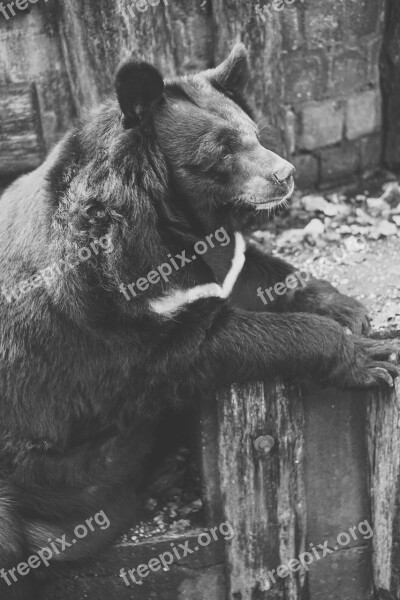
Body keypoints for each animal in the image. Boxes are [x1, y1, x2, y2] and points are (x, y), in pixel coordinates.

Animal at [0, 43, 398, 600]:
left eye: (254, 133)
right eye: (222, 149)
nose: (286, 175)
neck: (173, 216)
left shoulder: (213, 252)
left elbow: (254, 269)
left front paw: (348, 309)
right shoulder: (117, 304)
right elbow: (202, 344)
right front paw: (368, 357)